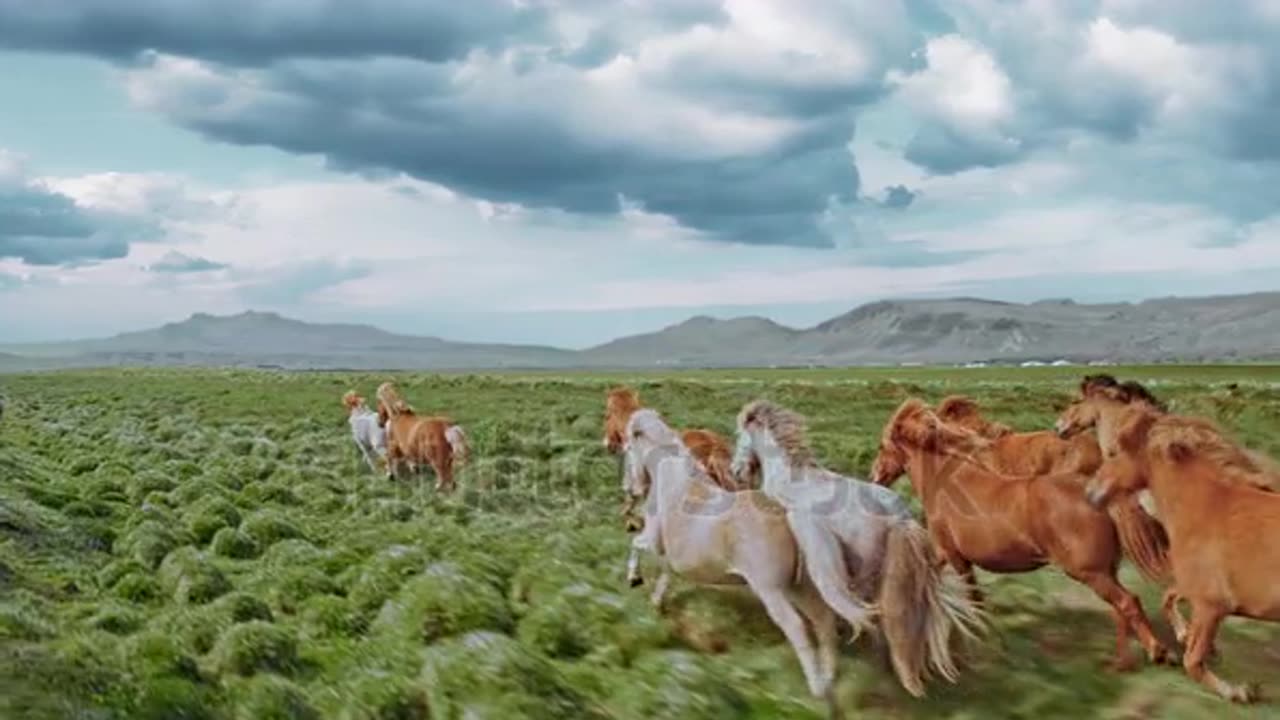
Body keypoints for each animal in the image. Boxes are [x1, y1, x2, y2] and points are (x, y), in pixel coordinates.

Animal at [865, 394, 1172, 671]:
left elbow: (973, 598)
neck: (945, 485)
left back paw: (1158, 652)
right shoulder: (944, 555)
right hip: (1107, 571)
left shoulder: (954, 556)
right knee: (1119, 610)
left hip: (1090, 572)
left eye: (882, 445)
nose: (875, 477)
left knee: (1128, 602)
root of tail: (1097, 496)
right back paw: (1121, 661)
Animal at [1085, 404, 1280, 702]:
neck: (1208, 508)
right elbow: (1169, 598)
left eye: (1113, 453)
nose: (1089, 493)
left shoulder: (1212, 606)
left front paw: (1238, 692)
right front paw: (1183, 635)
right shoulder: (1195, 590)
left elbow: (1193, 662)